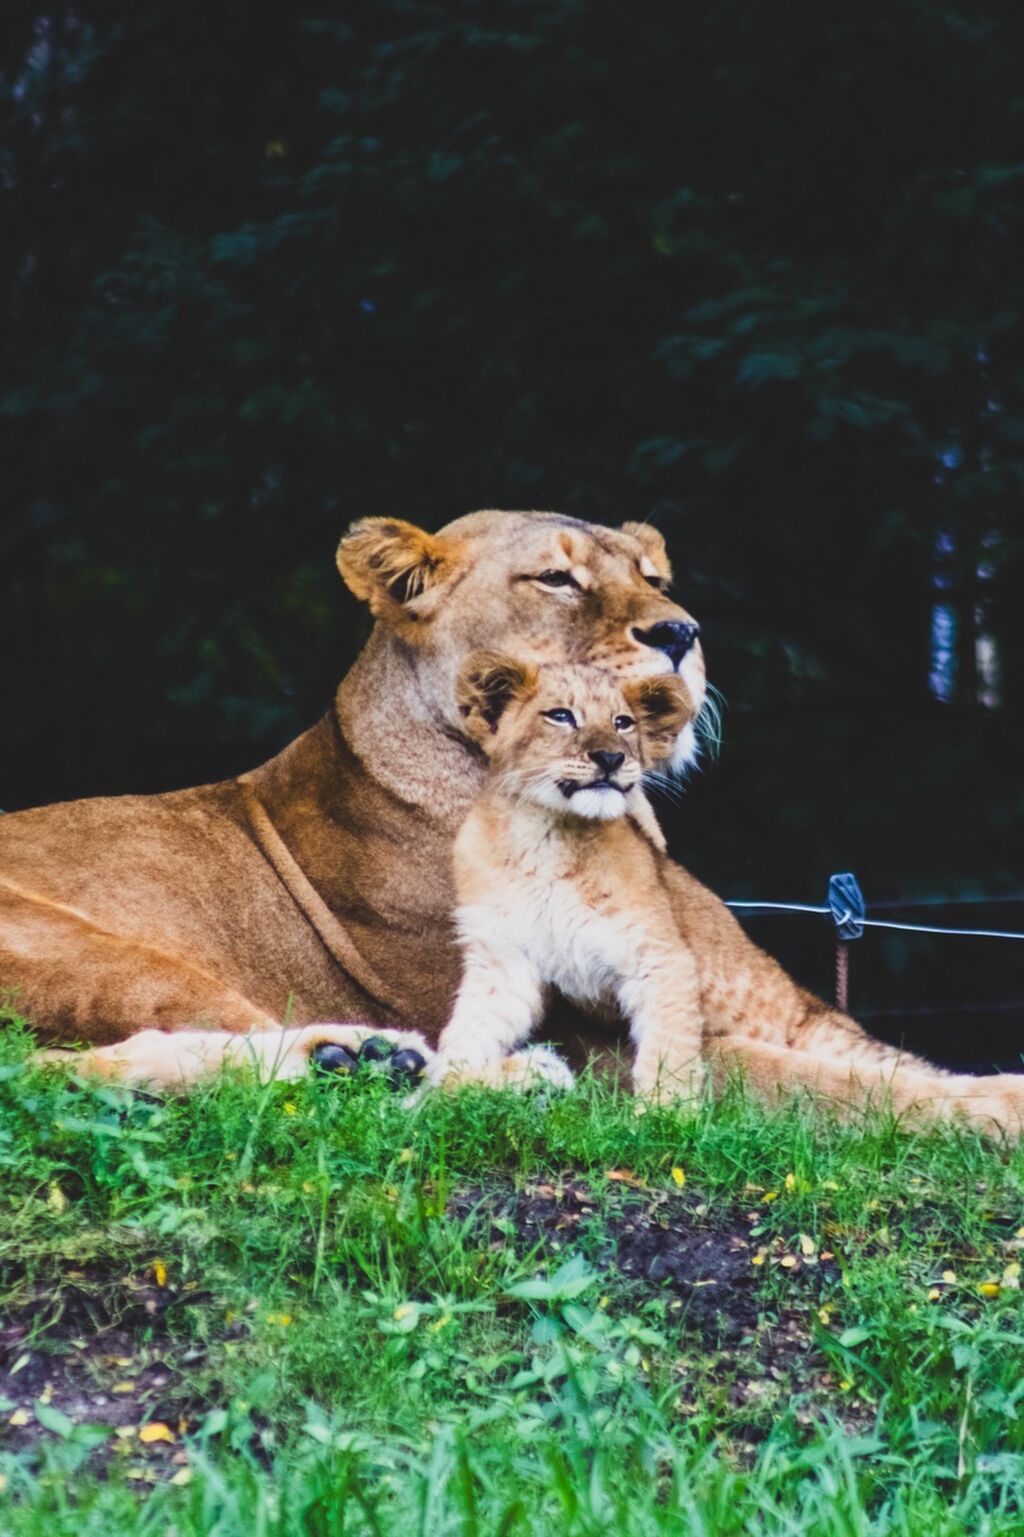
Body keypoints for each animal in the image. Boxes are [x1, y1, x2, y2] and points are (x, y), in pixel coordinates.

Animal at [2, 509, 1023, 1127]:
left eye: (653, 573)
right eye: (556, 581)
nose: (681, 632)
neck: (624, 822)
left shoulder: (799, 1016)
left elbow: (895, 1067)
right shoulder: (606, 1041)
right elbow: (847, 1093)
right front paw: (998, 1115)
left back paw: (367, 1061)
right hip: (101, 949)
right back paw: (393, 1063)